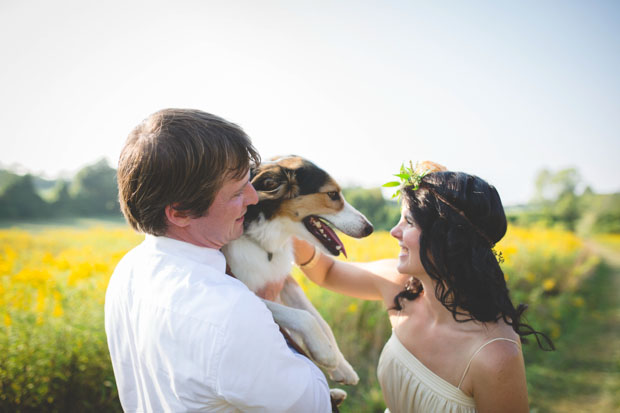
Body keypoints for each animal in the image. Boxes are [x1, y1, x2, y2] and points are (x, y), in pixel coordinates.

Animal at [223, 154, 376, 396]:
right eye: (333, 195)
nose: (369, 228)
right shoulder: (244, 289)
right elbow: (303, 317)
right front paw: (325, 353)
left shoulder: (286, 280)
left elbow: (320, 320)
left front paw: (342, 366)